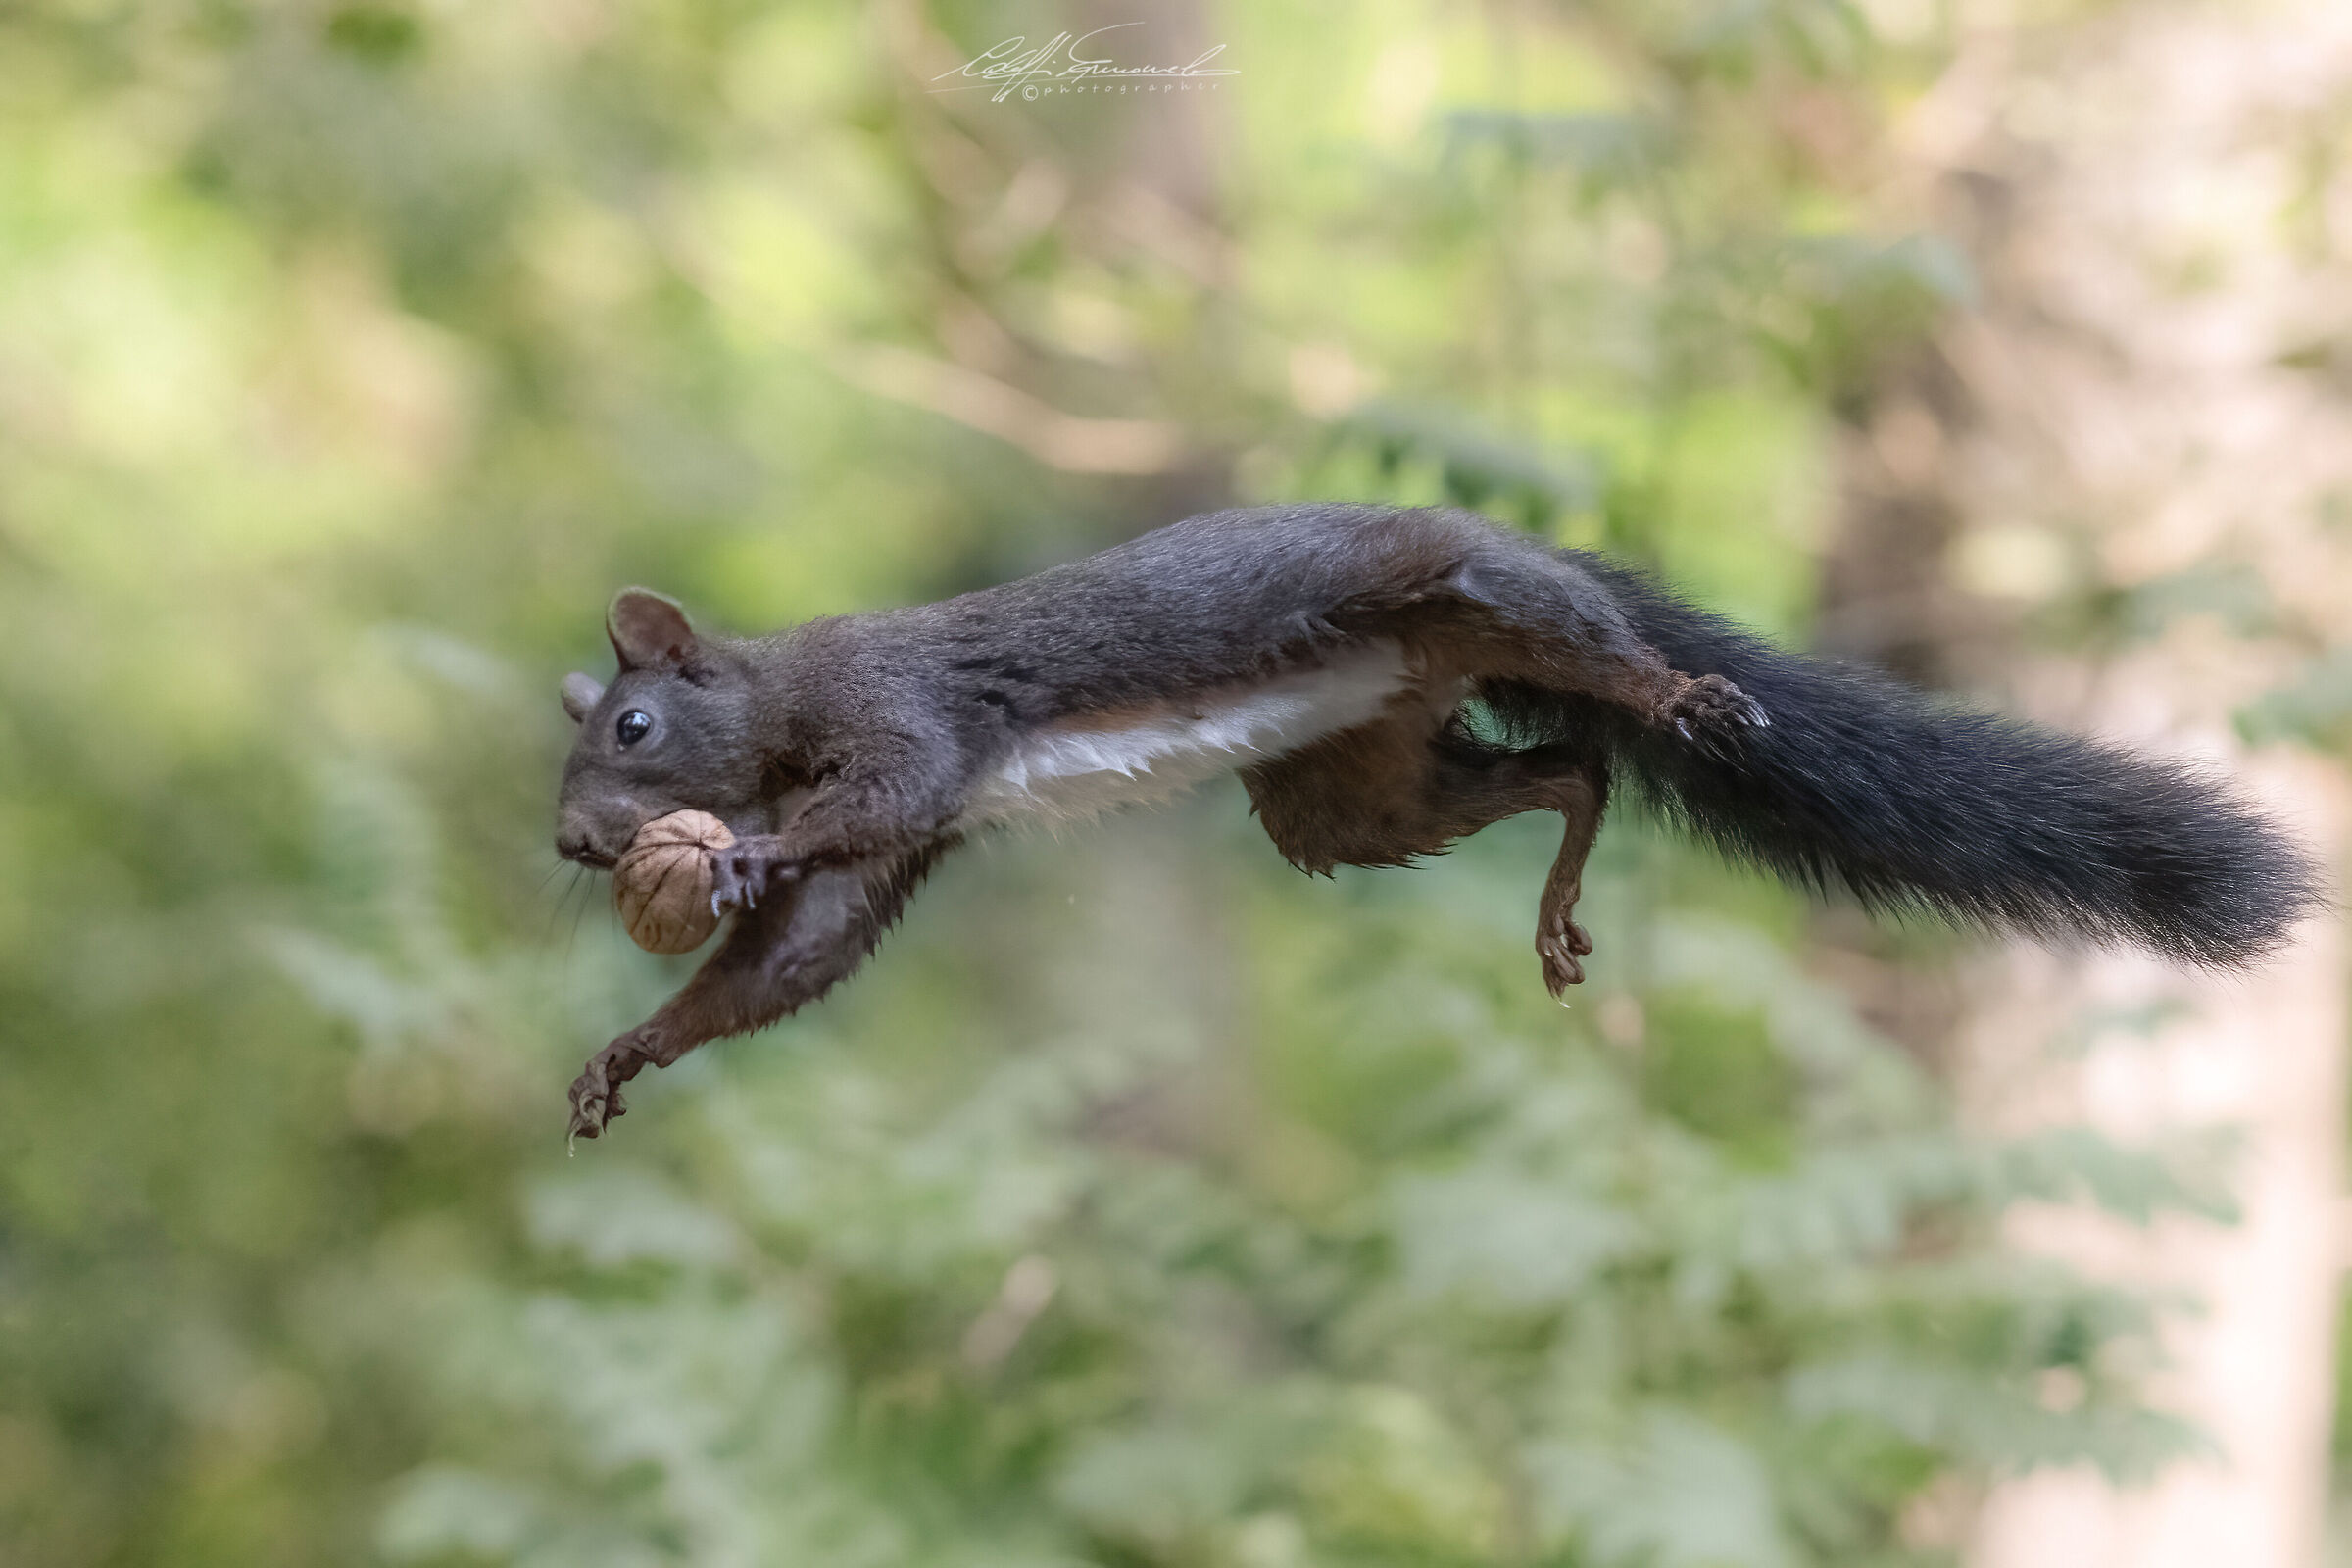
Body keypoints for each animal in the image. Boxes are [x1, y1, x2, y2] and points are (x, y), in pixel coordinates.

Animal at [554, 501, 2318, 1139]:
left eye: (633, 725)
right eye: (555, 758)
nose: (577, 847)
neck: (781, 707)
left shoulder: (906, 723)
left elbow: (874, 807)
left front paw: (740, 853)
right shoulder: (898, 849)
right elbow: (803, 955)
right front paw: (629, 1051)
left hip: (1456, 594)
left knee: (1601, 683)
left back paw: (1683, 693)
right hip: (1348, 792)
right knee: (1563, 772)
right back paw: (1558, 894)